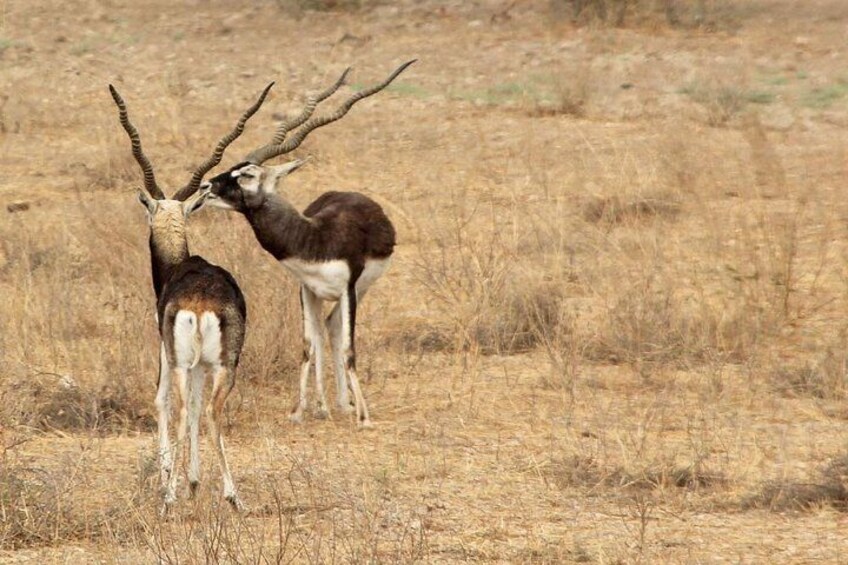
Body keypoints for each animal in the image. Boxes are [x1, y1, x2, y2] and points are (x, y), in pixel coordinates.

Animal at [107, 82, 270, 506]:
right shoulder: (202, 365)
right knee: (209, 410)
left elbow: (161, 401)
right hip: (224, 364)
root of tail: (200, 302)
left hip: (181, 362)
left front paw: (173, 477)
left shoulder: (166, 353)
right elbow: (197, 407)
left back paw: (172, 498)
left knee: (183, 408)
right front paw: (195, 480)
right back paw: (232, 496)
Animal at [198, 60, 414, 428]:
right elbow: (307, 345)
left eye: (247, 174)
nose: (205, 187)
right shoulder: (306, 289)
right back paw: (331, 404)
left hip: (360, 291)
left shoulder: (348, 289)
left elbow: (349, 349)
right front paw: (300, 411)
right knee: (329, 328)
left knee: (338, 331)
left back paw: (347, 405)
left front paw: (364, 417)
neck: (315, 239)